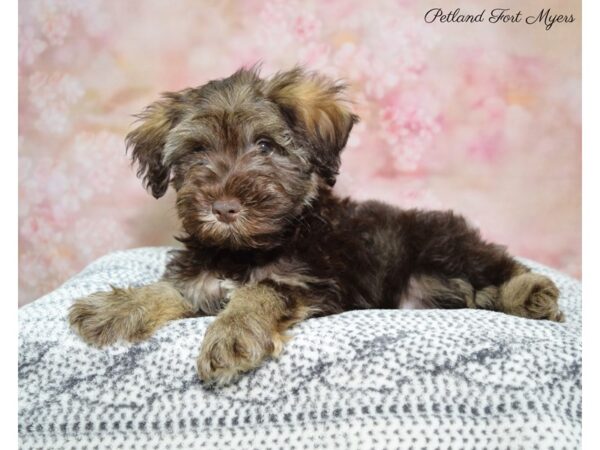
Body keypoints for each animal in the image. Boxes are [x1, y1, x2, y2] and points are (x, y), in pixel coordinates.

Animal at [68, 65, 564, 384]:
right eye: (196, 152)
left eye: (265, 146)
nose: (224, 207)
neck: (247, 248)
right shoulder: (201, 281)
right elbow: (169, 290)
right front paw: (116, 307)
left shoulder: (311, 282)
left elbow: (261, 291)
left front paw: (232, 333)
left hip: (442, 241)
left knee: (498, 265)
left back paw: (532, 295)